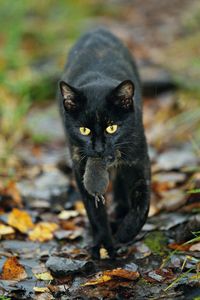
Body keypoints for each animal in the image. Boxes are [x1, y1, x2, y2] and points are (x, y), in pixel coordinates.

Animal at [58, 28, 151, 258]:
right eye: (84, 130)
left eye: (112, 128)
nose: (98, 149)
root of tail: (96, 29)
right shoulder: (79, 167)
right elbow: (94, 211)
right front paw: (103, 243)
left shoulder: (139, 161)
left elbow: (143, 202)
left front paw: (126, 232)